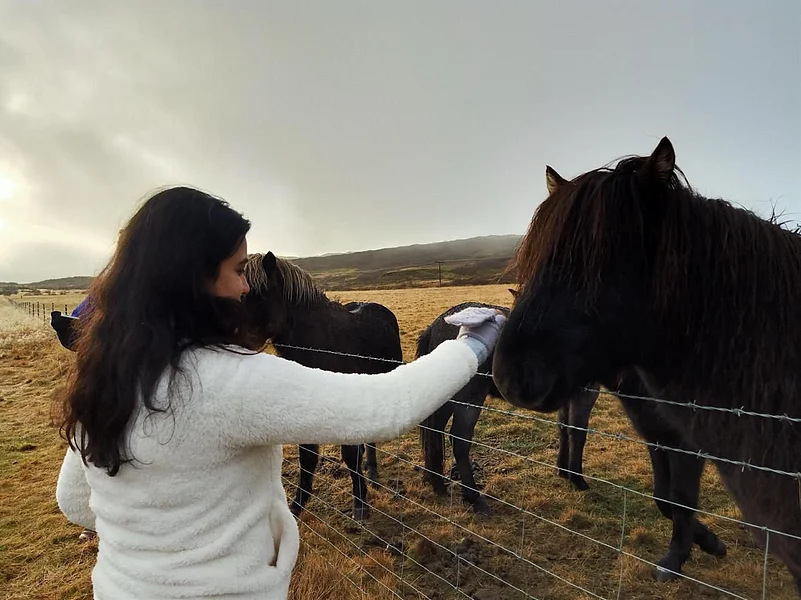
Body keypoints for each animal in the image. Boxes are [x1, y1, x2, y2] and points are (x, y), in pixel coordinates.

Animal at [243, 251, 404, 521]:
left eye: (258, 294)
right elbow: (307, 457)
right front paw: (297, 506)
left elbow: (349, 455)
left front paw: (360, 504)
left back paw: (371, 473)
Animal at [492, 137, 801, 594]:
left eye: (602, 262)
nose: (509, 375)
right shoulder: (657, 435)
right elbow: (664, 496)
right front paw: (702, 543)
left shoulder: (687, 443)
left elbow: (682, 497)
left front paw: (684, 553)